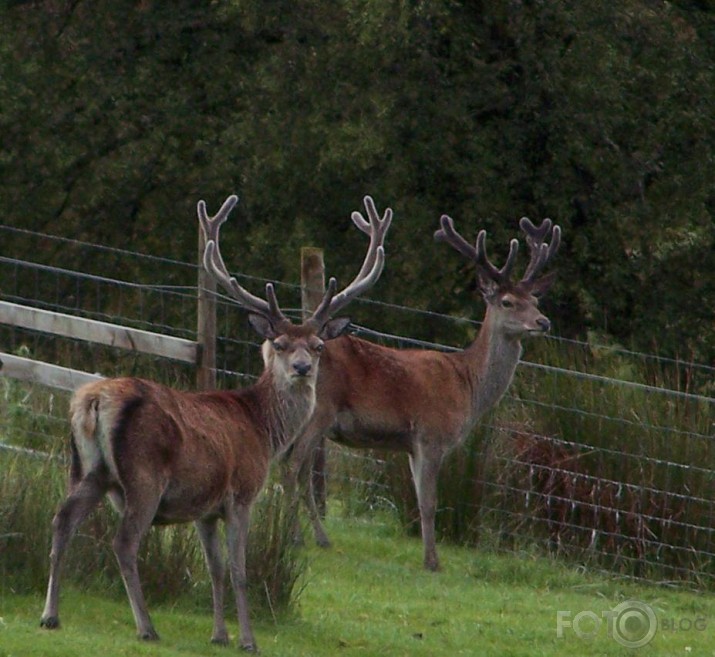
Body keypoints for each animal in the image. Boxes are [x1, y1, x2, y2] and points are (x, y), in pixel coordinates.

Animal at [39, 193, 392, 652]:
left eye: (317, 346)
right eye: (280, 344)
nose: (301, 368)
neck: (264, 429)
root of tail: (94, 399)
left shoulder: (204, 509)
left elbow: (216, 569)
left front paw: (219, 635)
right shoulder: (242, 493)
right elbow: (240, 570)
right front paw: (247, 640)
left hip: (87, 469)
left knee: (62, 520)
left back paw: (50, 615)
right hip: (144, 474)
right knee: (124, 541)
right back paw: (146, 626)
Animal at [284, 213, 560, 572]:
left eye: (536, 300)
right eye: (507, 301)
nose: (543, 322)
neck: (467, 386)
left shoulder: (412, 445)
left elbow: (418, 499)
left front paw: (428, 556)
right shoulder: (431, 434)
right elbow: (430, 502)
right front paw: (432, 561)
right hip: (317, 412)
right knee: (293, 469)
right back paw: (297, 538)